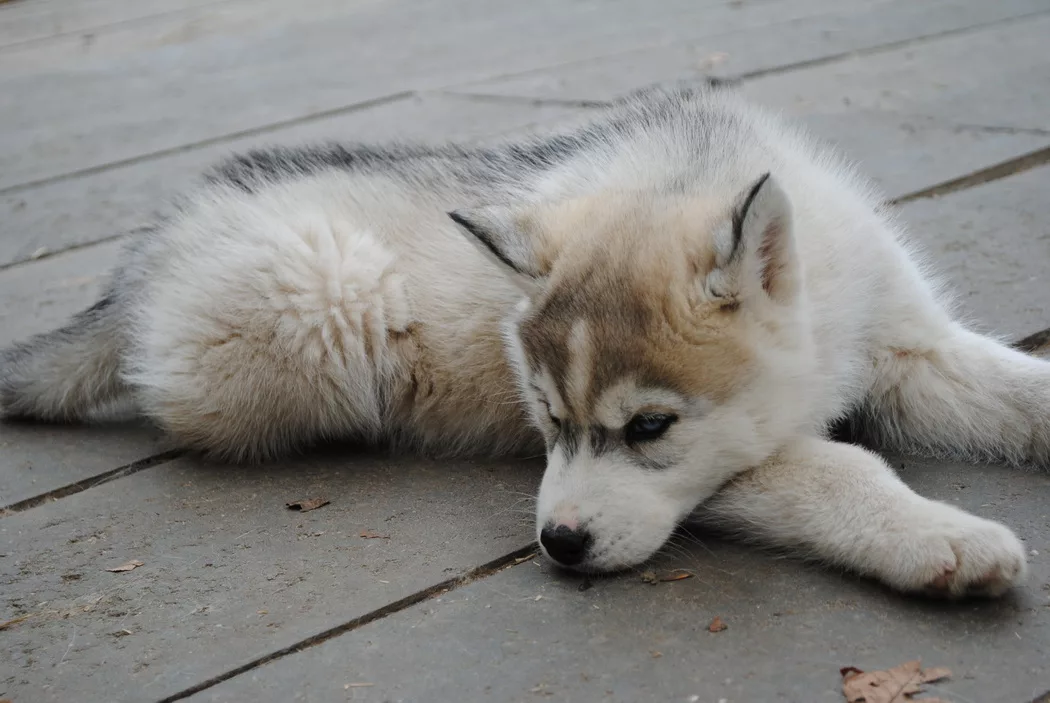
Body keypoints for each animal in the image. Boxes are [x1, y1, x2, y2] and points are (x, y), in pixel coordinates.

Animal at [2, 83, 1041, 600]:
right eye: (545, 420)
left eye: (649, 428)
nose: (560, 542)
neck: (826, 322)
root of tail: (151, 251)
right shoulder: (744, 459)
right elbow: (838, 471)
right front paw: (944, 538)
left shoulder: (910, 345)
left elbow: (1021, 387)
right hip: (322, 306)